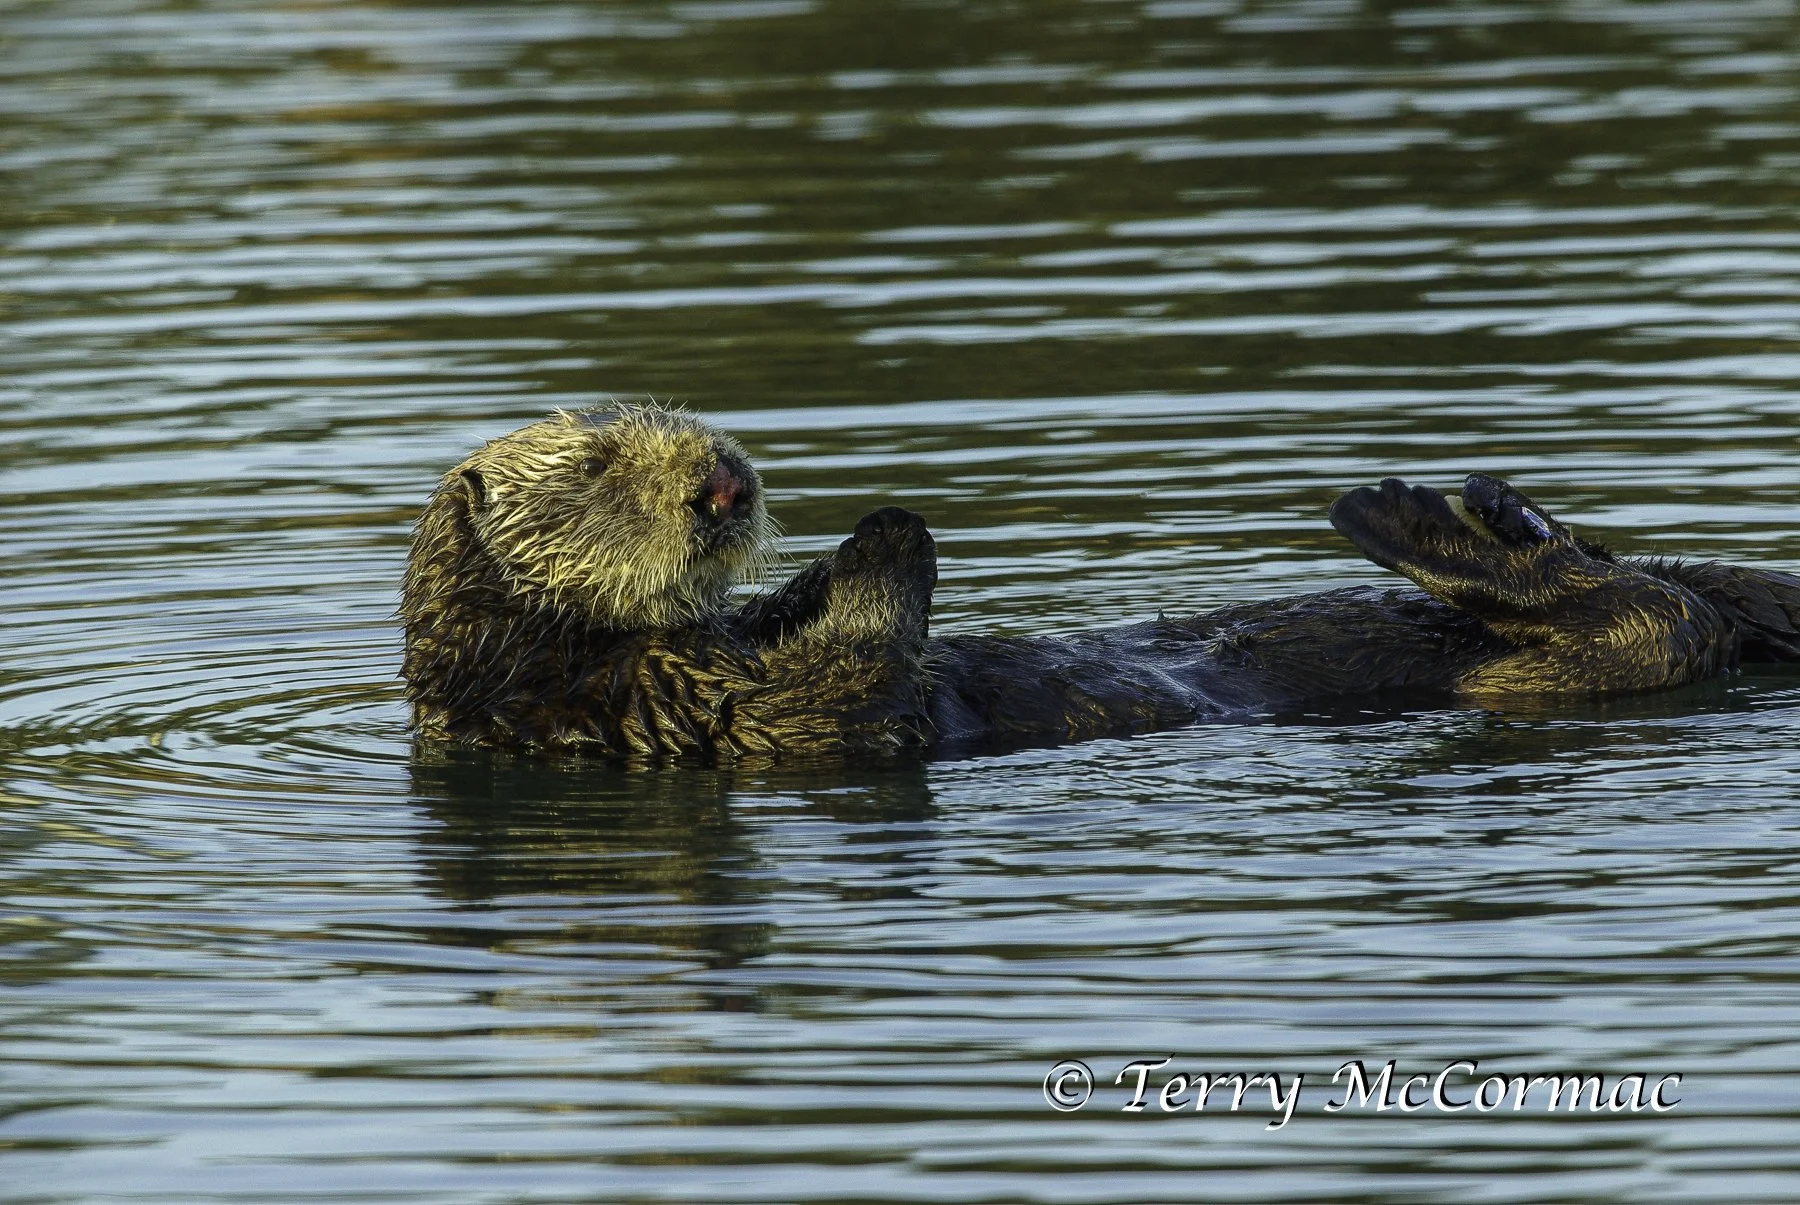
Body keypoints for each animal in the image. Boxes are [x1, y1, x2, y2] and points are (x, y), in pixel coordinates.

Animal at [400, 405, 1800, 759]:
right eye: (597, 460)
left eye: (699, 426)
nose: (726, 485)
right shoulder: (660, 714)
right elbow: (851, 704)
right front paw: (883, 532)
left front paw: (811, 570)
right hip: (1558, 674)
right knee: (1641, 617)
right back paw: (1412, 514)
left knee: (1642, 590)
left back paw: (1495, 507)